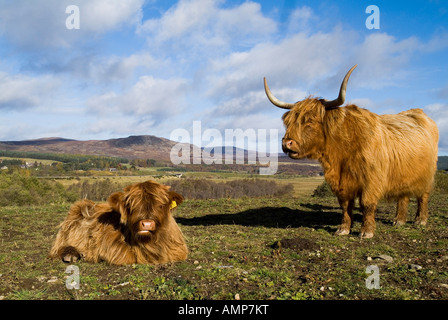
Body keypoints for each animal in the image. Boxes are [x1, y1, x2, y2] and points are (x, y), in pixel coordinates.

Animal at [49, 180, 187, 264]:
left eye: (160, 205)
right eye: (131, 206)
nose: (147, 224)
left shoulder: (178, 250)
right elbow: (128, 256)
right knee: (58, 247)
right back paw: (70, 254)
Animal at [264, 65, 440, 239]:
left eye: (310, 120)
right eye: (289, 122)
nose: (286, 143)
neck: (341, 152)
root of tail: (419, 113)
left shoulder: (371, 180)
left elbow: (366, 204)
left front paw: (366, 231)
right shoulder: (342, 182)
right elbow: (345, 206)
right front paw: (343, 229)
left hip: (427, 174)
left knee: (423, 196)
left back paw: (420, 220)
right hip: (404, 172)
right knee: (403, 195)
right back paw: (399, 220)